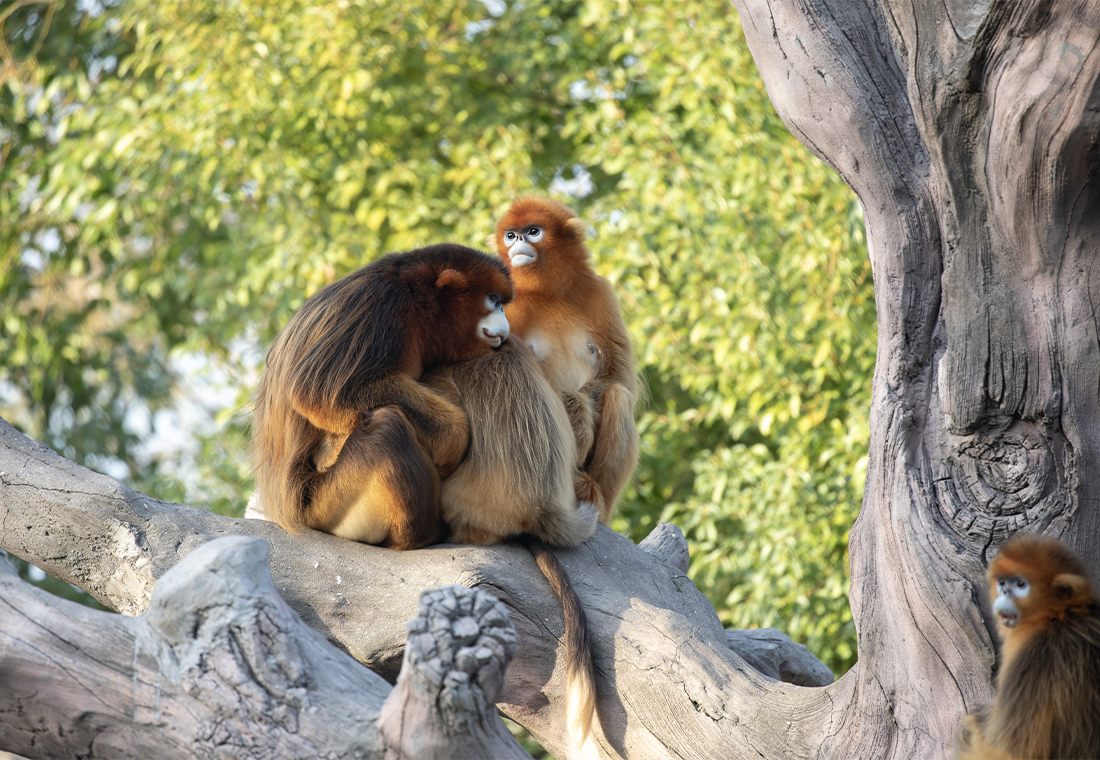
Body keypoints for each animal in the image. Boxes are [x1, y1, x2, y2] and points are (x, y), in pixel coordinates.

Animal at [495, 194, 642, 523]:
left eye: (533, 231)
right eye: (510, 235)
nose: (517, 241)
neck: (545, 292)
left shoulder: (600, 291)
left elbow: (618, 376)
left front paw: (580, 412)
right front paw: (576, 413)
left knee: (618, 396)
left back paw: (589, 497)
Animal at [954, 534, 1100, 760]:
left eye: (1021, 584)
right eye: (1002, 582)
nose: (1004, 591)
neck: (1058, 617)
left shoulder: (1035, 658)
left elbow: (1007, 752)